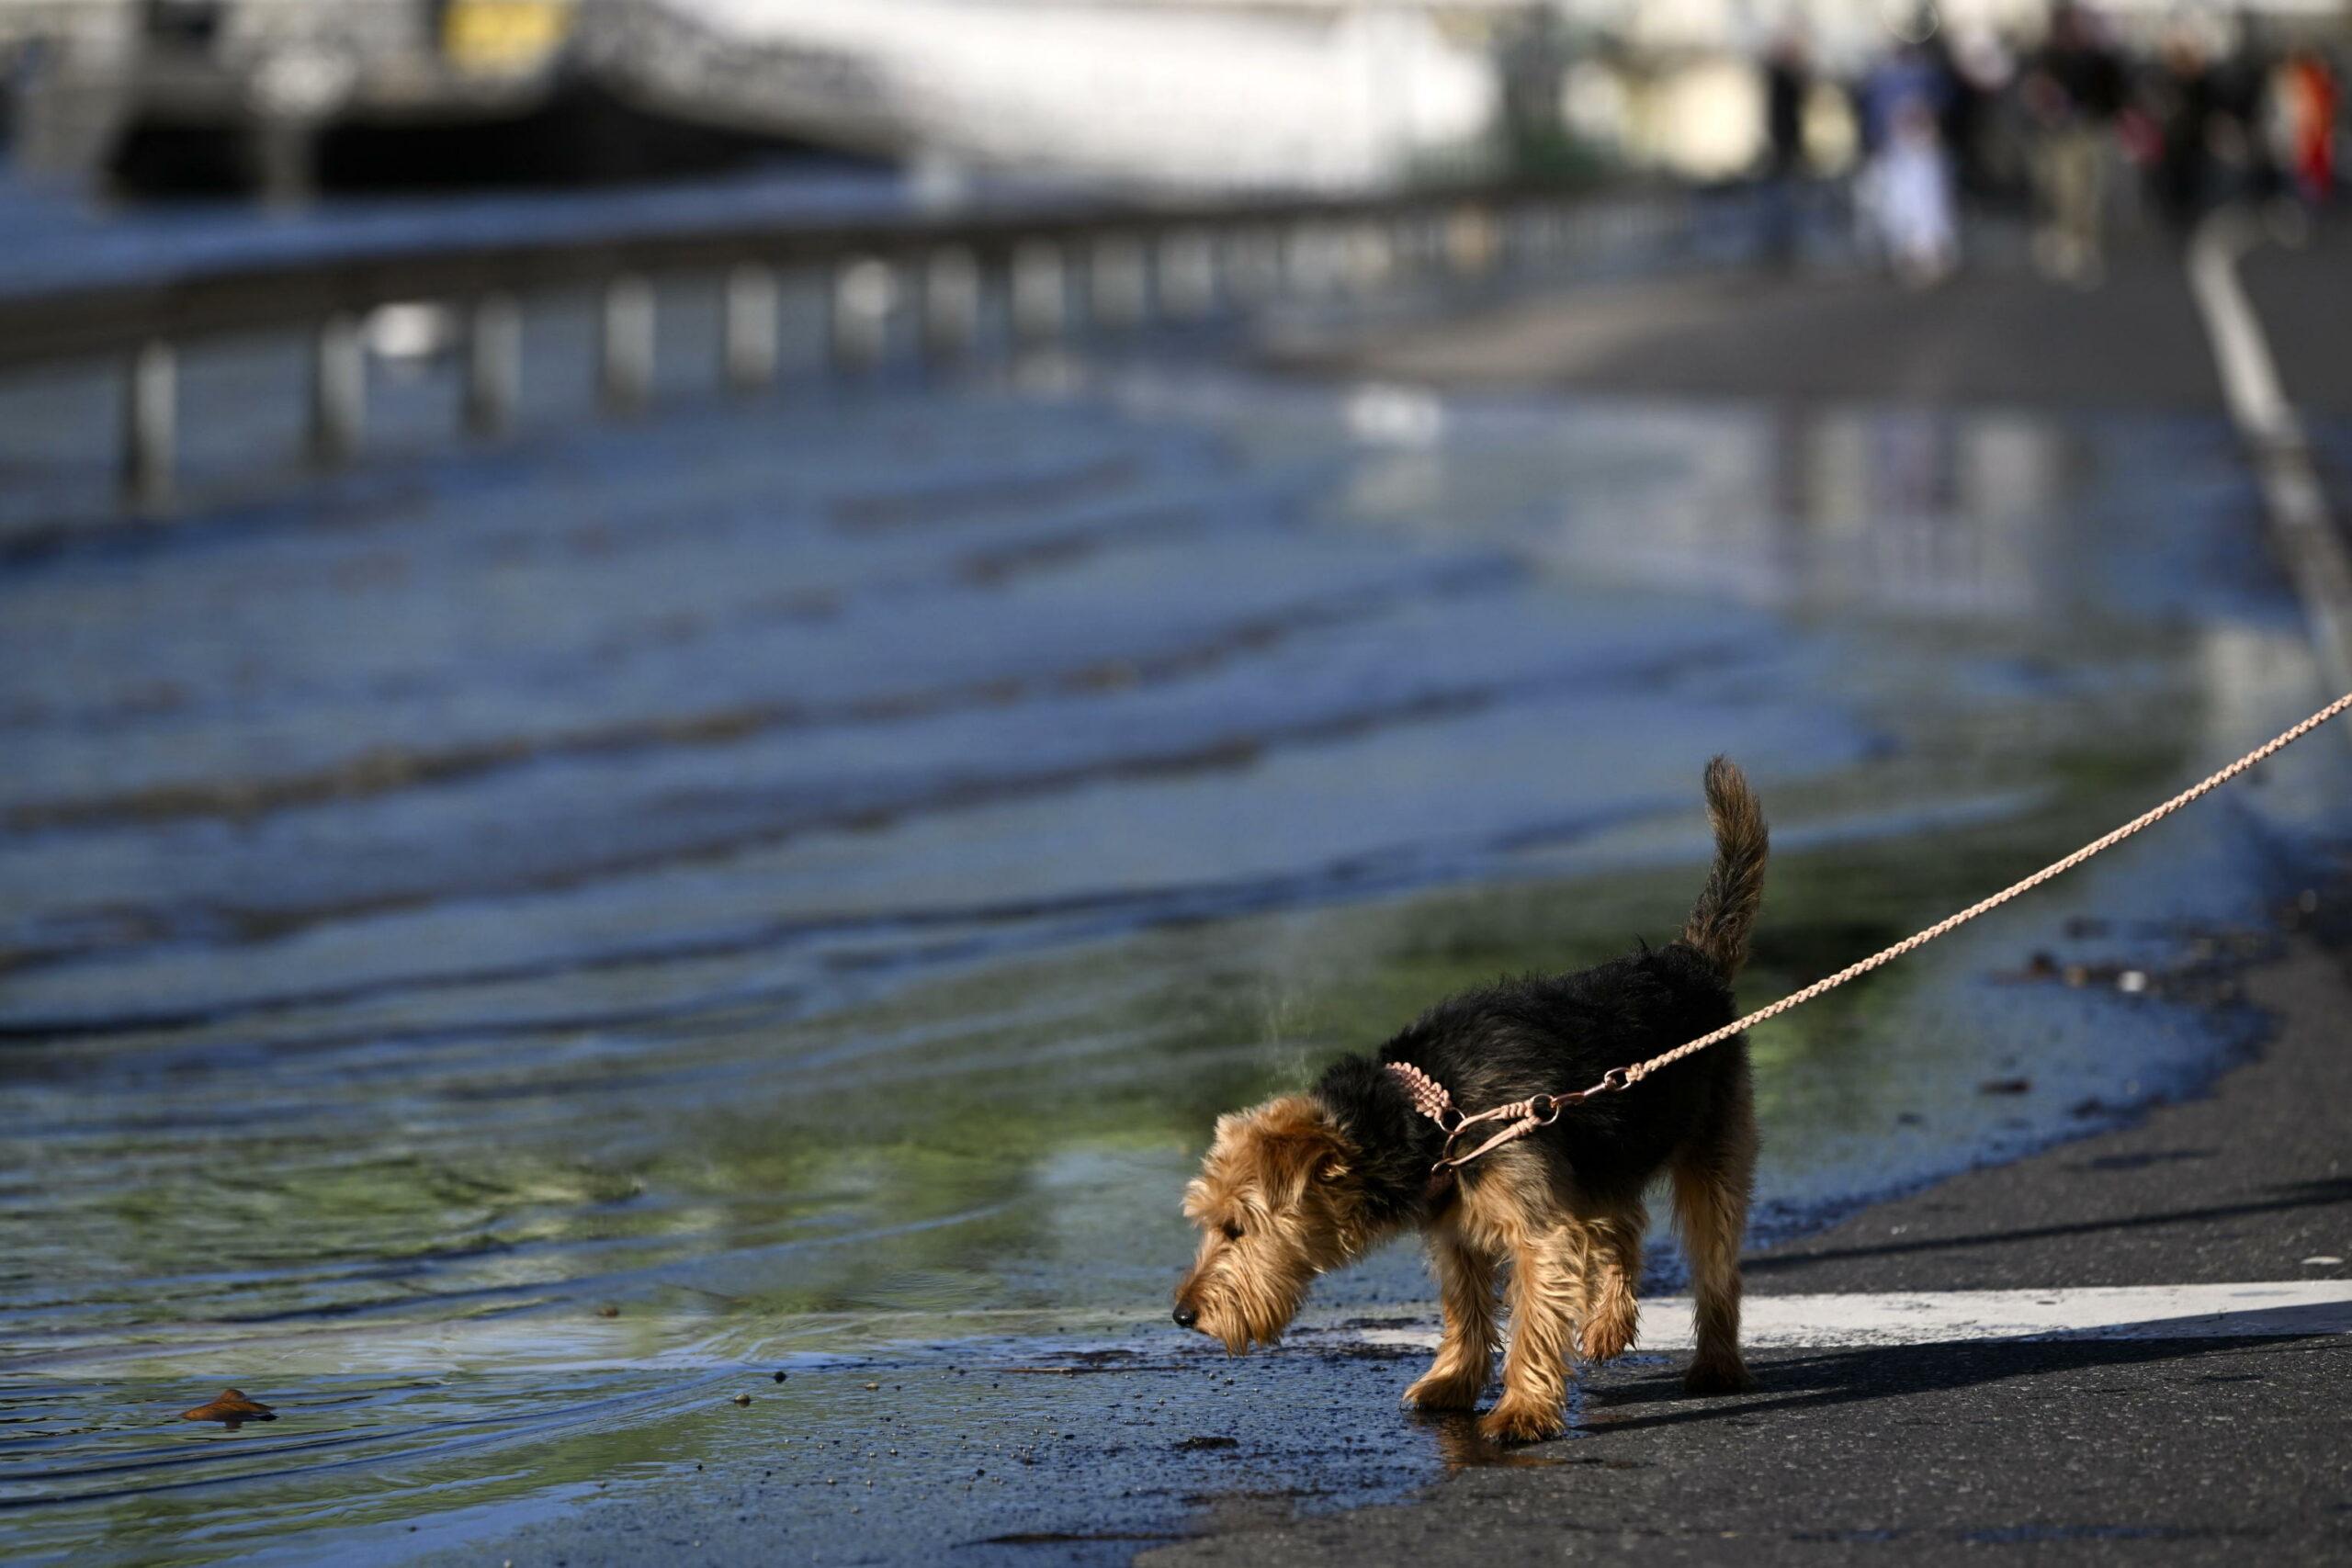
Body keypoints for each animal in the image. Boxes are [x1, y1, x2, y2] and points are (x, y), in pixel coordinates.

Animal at [1176, 761, 1769, 1448]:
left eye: (1236, 1228)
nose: (1182, 1314)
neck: (1434, 1115)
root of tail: (1689, 962)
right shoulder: (1456, 1236)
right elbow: (1466, 1311)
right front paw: (1454, 1381)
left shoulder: (1540, 1233)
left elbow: (1533, 1322)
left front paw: (1521, 1411)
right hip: (1598, 1159)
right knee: (1621, 1225)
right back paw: (1609, 1323)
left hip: (1711, 1157)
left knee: (1714, 1260)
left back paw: (1717, 1365)